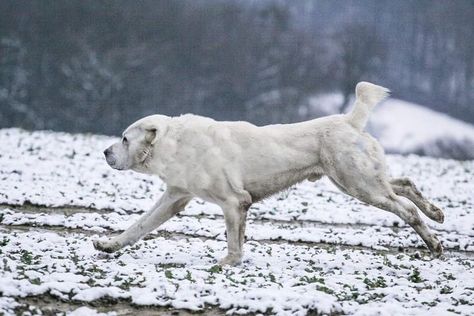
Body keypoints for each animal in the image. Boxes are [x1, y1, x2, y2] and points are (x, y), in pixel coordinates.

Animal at [93, 81, 444, 264]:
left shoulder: (234, 201)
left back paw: (434, 243)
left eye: (125, 139)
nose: (105, 152)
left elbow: (233, 239)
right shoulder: (176, 197)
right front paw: (109, 245)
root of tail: (348, 120)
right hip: (357, 180)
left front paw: (228, 264)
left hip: (359, 184)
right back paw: (436, 212)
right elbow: (140, 225)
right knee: (404, 183)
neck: (172, 144)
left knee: (405, 208)